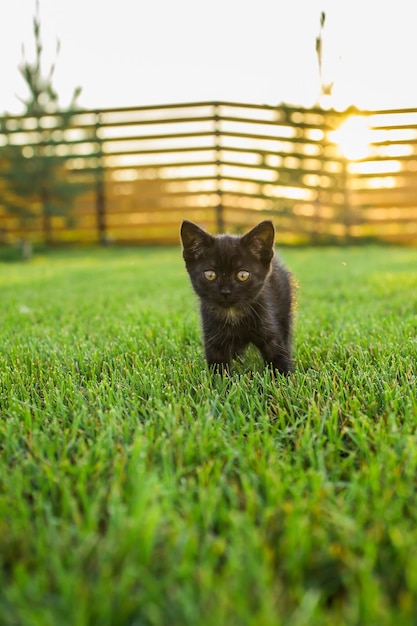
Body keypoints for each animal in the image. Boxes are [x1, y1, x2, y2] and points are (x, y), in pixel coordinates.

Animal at [179, 219, 292, 370]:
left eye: (243, 275)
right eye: (210, 275)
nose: (226, 292)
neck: (232, 314)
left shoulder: (269, 329)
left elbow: (278, 355)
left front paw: (286, 375)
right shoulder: (213, 338)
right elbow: (218, 367)